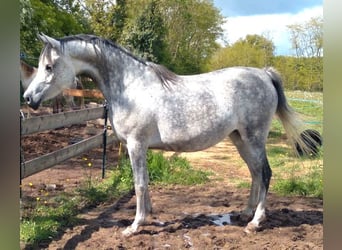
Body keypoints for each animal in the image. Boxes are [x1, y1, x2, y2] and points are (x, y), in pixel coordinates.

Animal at [22, 33, 314, 236]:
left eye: (49, 67)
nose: (28, 98)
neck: (130, 87)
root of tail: (264, 74)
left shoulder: (136, 145)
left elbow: (139, 184)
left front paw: (134, 226)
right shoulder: (137, 147)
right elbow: (144, 183)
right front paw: (147, 216)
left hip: (254, 138)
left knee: (265, 173)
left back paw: (255, 222)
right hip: (239, 138)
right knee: (254, 173)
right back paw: (244, 214)